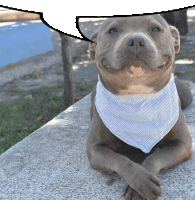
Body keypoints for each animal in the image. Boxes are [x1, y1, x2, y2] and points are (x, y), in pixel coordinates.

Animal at [86, 14, 192, 200]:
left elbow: (155, 157)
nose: (135, 40)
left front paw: (140, 185)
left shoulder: (183, 144)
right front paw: (139, 181)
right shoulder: (95, 149)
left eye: (156, 29)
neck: (137, 96)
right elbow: (121, 159)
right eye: (112, 31)